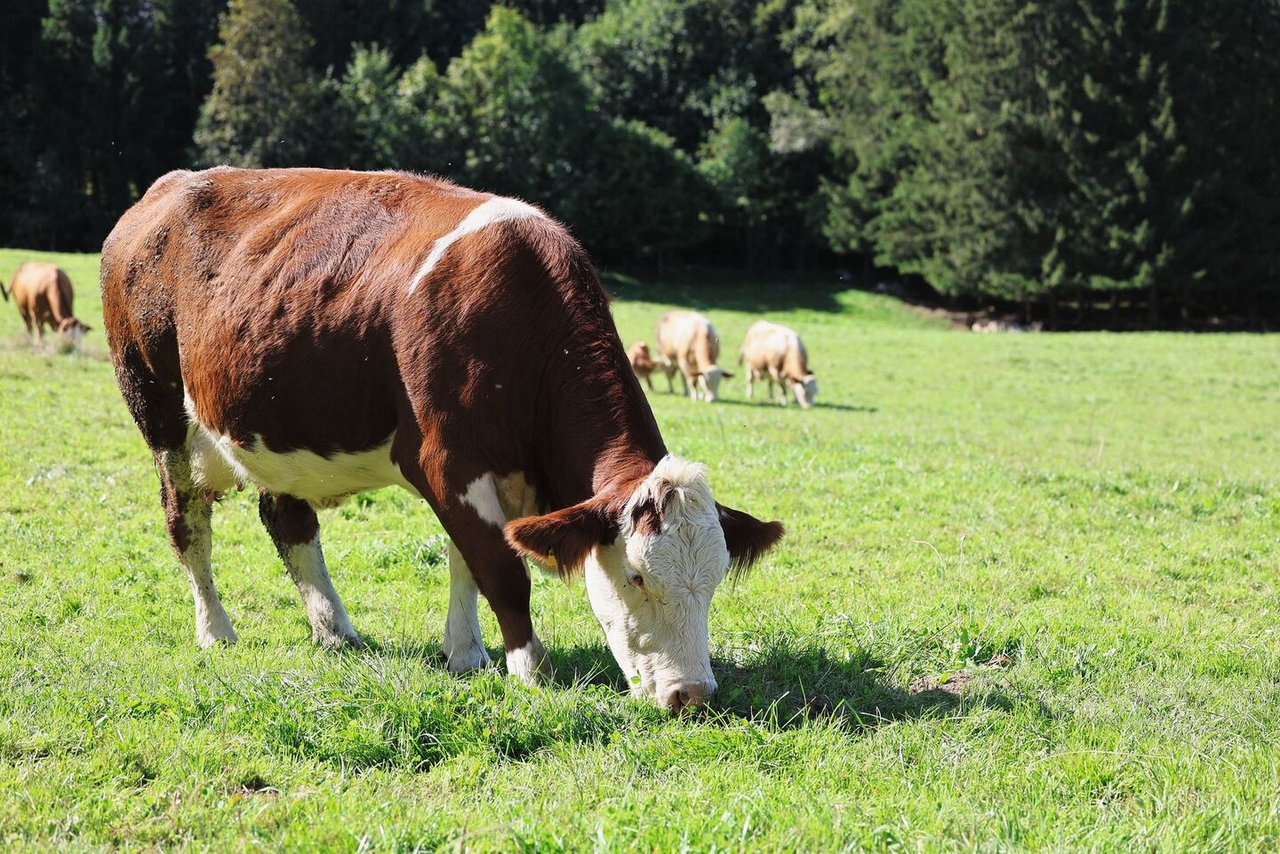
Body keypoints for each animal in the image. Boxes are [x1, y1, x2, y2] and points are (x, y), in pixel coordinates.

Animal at [99, 166, 778, 717]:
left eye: (716, 578)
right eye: (636, 576)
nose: (692, 694)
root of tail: (165, 188)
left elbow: (469, 560)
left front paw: (467, 653)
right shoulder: (444, 462)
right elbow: (500, 569)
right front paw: (530, 667)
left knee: (286, 520)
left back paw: (334, 630)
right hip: (159, 414)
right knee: (187, 525)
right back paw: (216, 630)